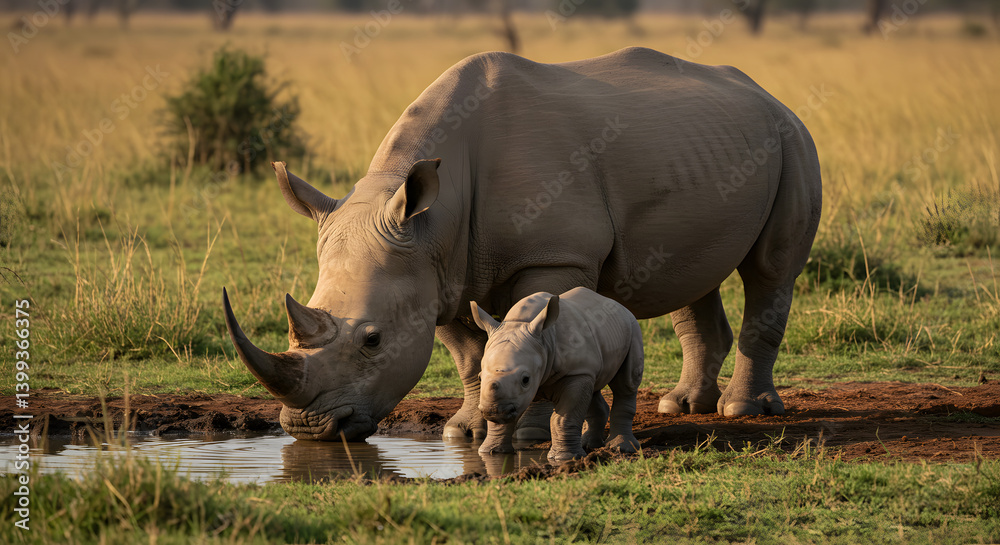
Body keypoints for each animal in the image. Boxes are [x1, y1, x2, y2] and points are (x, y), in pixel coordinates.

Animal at [222, 46, 822, 442]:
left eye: (372, 340)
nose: (309, 428)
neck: (432, 216)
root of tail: (766, 93)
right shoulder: (436, 271)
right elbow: (469, 354)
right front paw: (464, 433)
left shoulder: (553, 256)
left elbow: (533, 328)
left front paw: (533, 428)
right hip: (705, 144)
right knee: (690, 276)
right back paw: (683, 407)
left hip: (793, 138)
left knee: (770, 271)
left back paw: (742, 411)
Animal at [473, 288, 644, 461]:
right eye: (479, 377)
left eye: (525, 380)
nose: (493, 411)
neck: (543, 340)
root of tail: (618, 305)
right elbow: (501, 421)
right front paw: (491, 452)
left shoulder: (576, 372)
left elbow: (563, 417)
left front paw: (564, 458)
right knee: (593, 387)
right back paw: (589, 444)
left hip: (632, 326)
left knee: (626, 385)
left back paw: (622, 447)